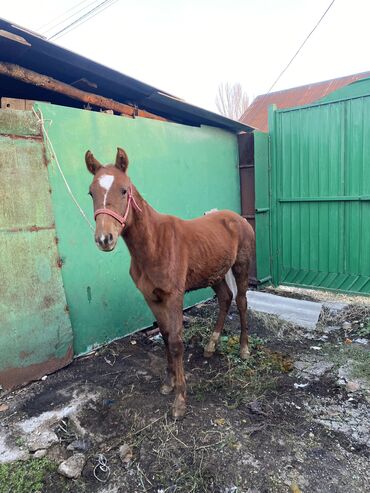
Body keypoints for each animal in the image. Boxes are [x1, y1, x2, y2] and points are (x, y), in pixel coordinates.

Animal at [86, 148, 254, 418]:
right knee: (225, 298)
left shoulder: (174, 296)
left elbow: (175, 342)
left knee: (240, 301)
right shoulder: (151, 297)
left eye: (124, 190)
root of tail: (238, 218)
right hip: (214, 274)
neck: (154, 244)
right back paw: (210, 345)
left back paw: (244, 349)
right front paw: (168, 383)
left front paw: (180, 401)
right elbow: (164, 336)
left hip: (241, 267)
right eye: (91, 192)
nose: (104, 239)